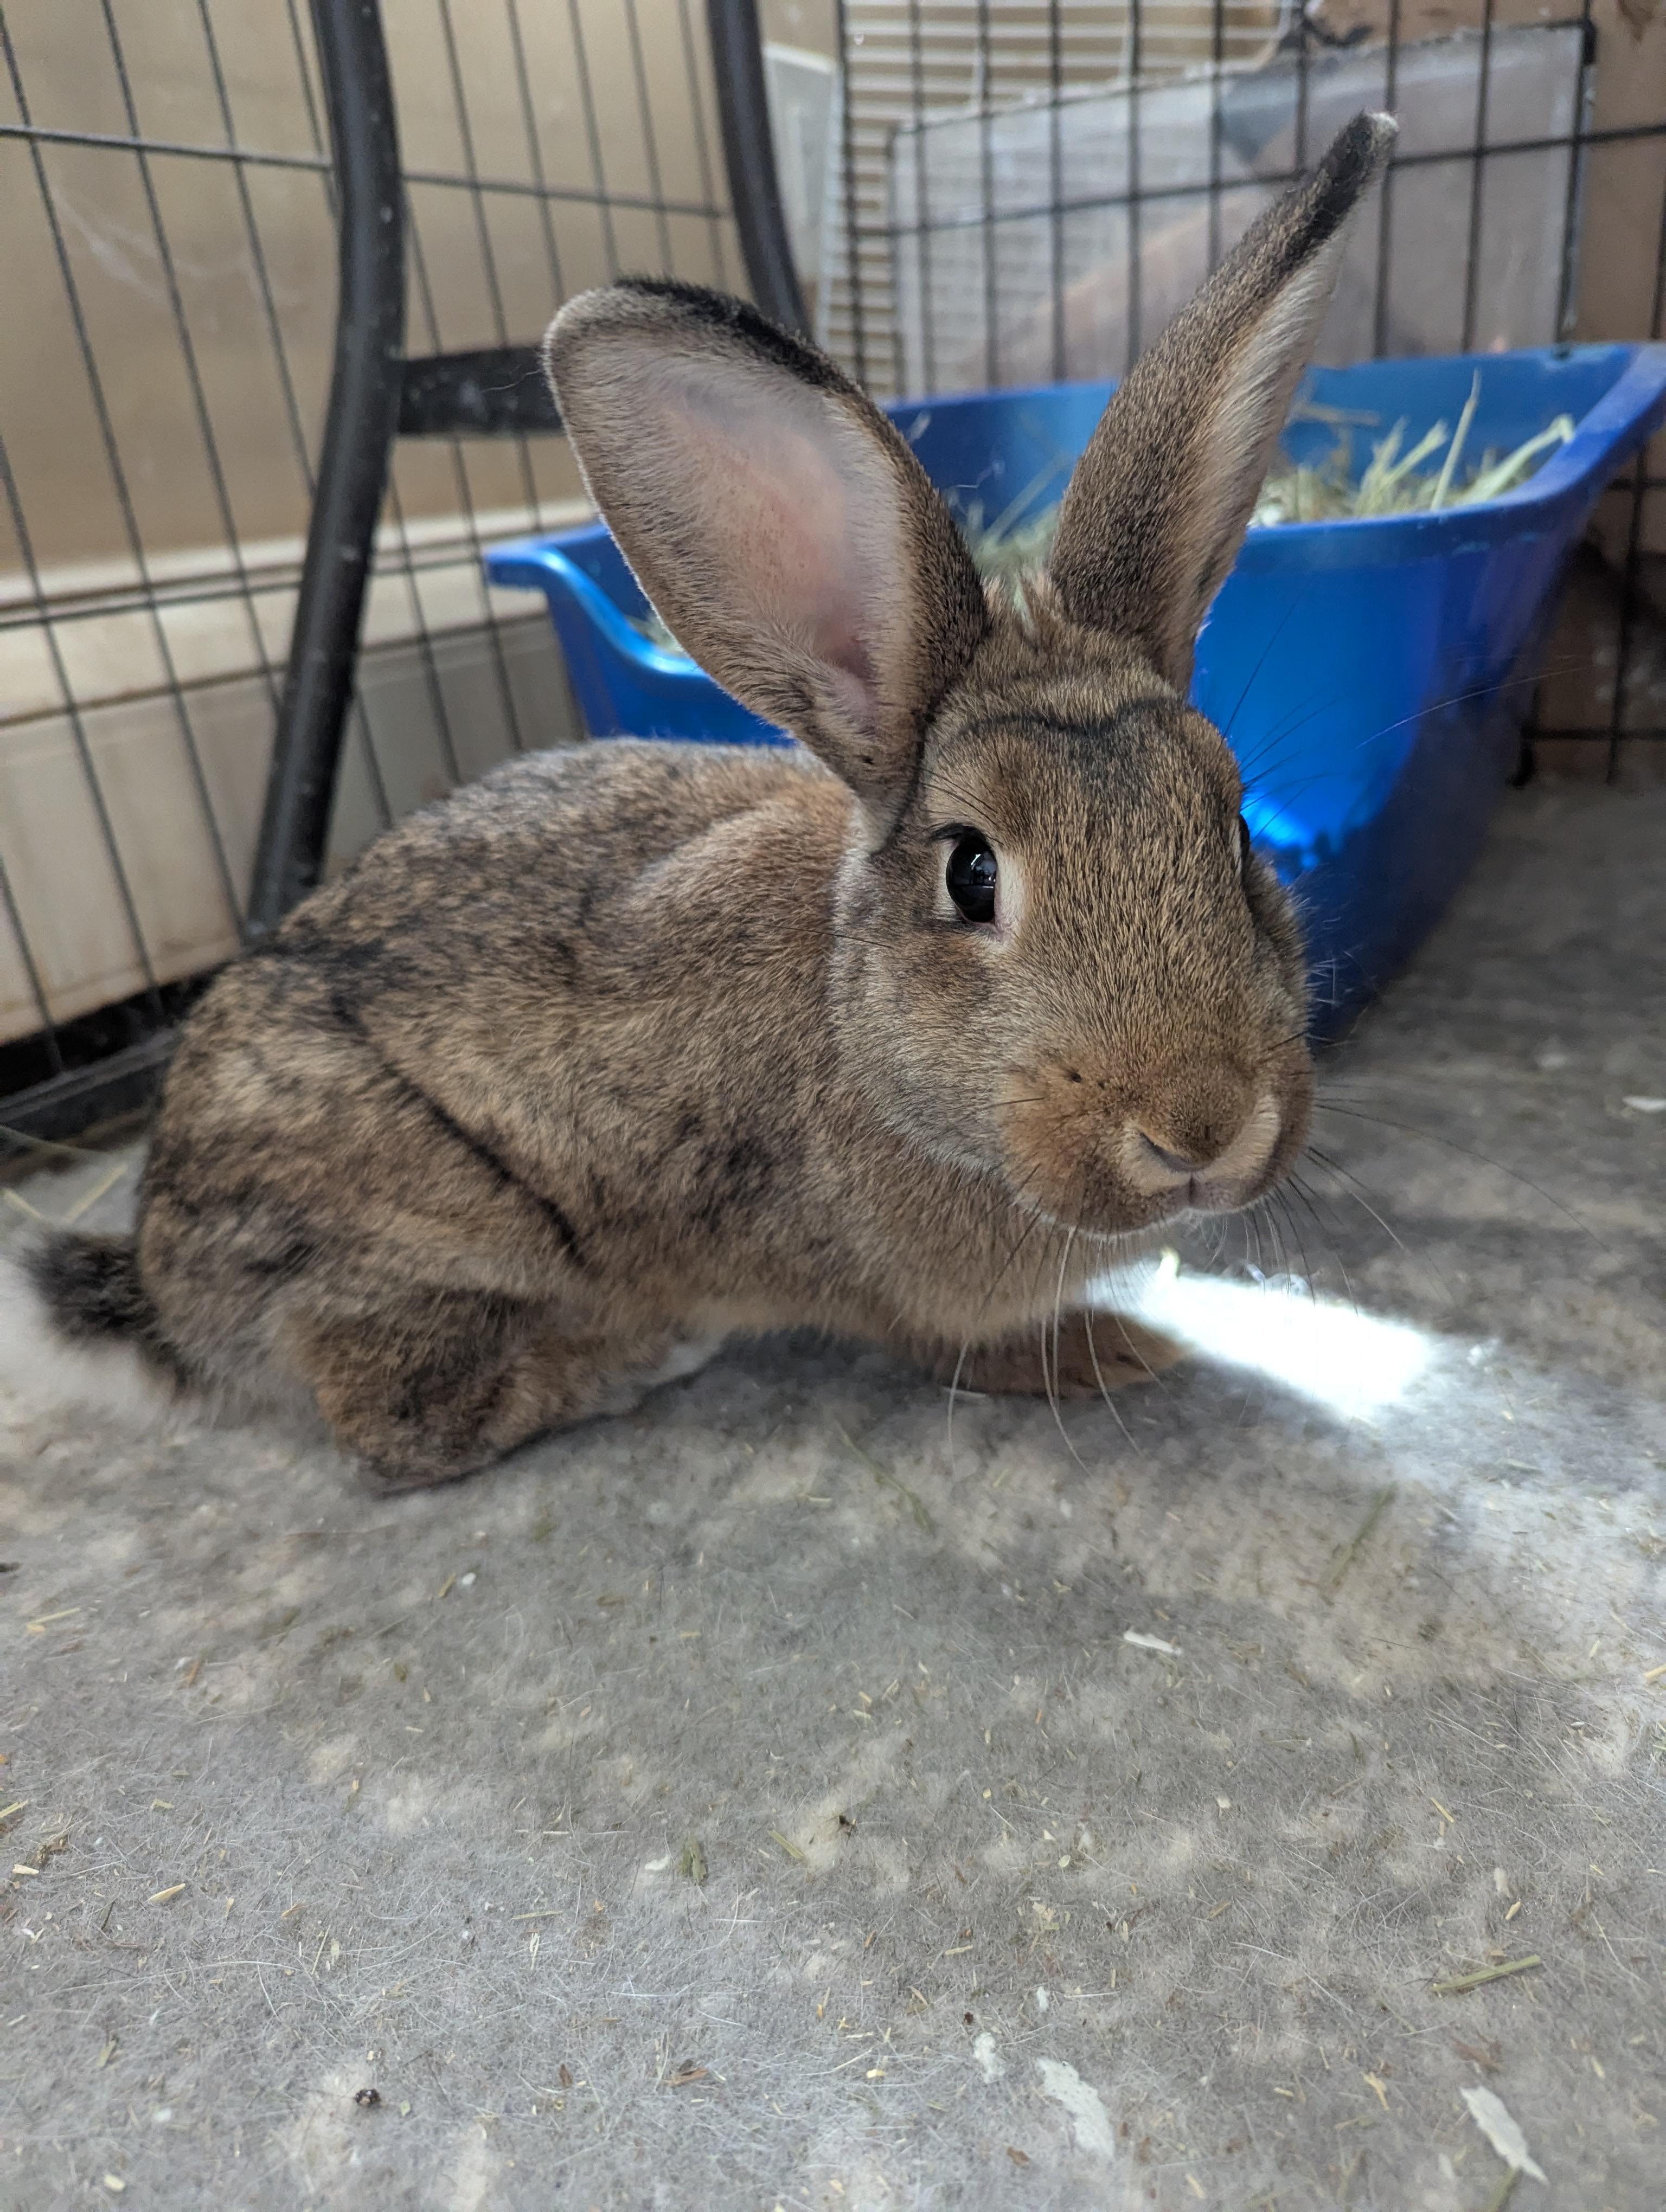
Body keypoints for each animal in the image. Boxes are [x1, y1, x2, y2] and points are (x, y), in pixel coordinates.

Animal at [0, 112, 1395, 1492]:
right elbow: (955, 1347)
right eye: (971, 873)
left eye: (1232, 833)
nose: (1200, 1128)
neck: (862, 1040)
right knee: (396, 1419)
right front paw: (1108, 1347)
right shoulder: (873, 1282)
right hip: (432, 1238)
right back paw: (625, 1360)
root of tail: (160, 1276)